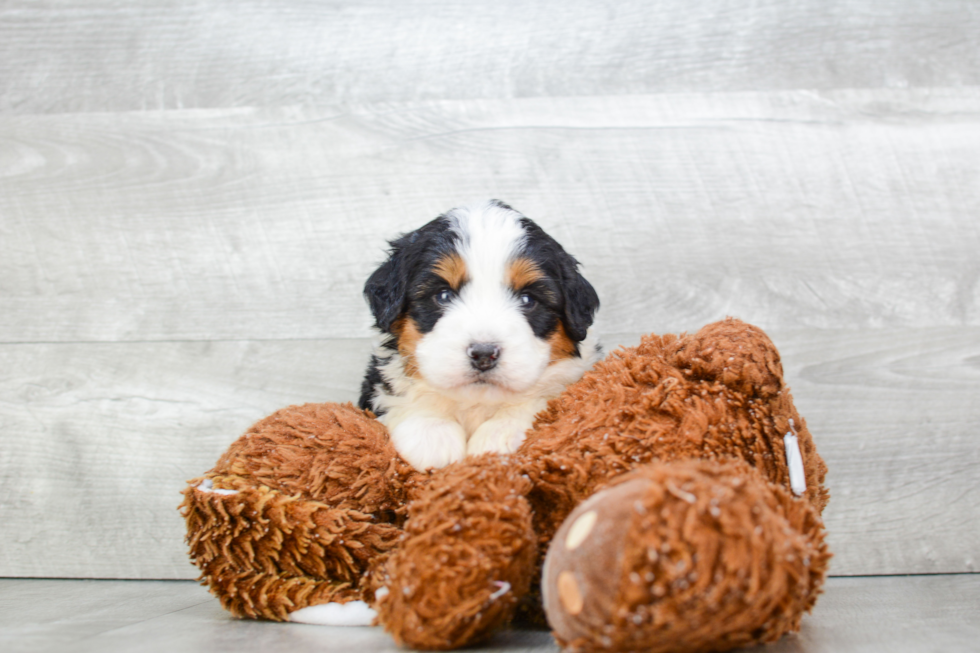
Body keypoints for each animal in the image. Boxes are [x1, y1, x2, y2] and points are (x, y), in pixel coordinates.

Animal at [360, 199, 600, 468]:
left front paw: (497, 438)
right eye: (444, 295)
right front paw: (433, 435)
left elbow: (538, 399)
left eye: (527, 299)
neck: (476, 401)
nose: (484, 354)